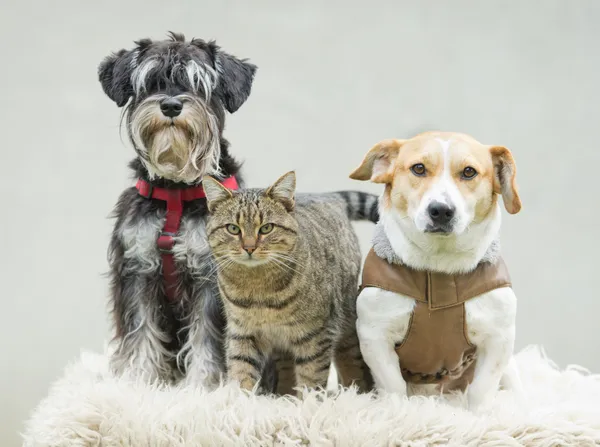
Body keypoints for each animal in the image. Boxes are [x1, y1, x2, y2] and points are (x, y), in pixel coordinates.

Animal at [98, 32, 255, 388]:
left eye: (199, 84)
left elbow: (206, 338)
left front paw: (200, 386)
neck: (175, 192)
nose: (171, 105)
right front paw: (138, 382)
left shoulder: (210, 276)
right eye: (151, 82)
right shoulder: (138, 268)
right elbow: (140, 333)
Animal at [204, 172, 378, 396]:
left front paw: (308, 401)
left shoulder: (316, 334)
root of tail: (326, 196)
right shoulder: (242, 332)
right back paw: (283, 395)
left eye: (266, 228)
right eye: (233, 229)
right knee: (285, 365)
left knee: (352, 358)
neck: (258, 287)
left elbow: (311, 376)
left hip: (346, 319)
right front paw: (239, 399)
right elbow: (241, 370)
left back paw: (357, 392)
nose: (249, 247)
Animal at [350, 132, 524, 410]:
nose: (441, 210)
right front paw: (396, 412)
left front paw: (478, 415)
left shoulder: (499, 338)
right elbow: (393, 386)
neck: (439, 270)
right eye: (418, 168)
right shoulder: (374, 336)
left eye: (469, 172)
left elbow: (482, 389)